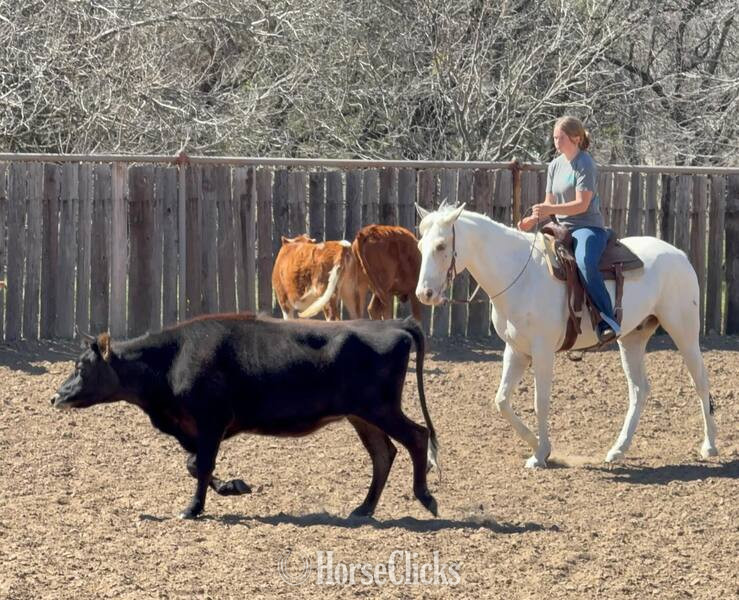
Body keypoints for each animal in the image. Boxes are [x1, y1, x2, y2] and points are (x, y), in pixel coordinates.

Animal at [414, 202, 718, 467]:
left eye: (441, 246)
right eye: (420, 246)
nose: (424, 294)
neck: (518, 276)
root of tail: (678, 254)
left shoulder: (543, 350)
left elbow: (540, 402)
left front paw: (539, 456)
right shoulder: (516, 350)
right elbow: (501, 401)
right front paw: (541, 448)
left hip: (684, 331)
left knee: (700, 382)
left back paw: (709, 446)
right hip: (632, 339)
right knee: (639, 390)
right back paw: (618, 449)